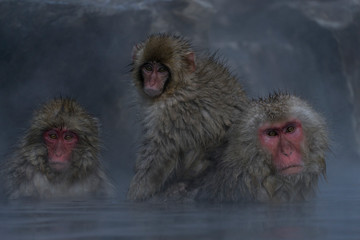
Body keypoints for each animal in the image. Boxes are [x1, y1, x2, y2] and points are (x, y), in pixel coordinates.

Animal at [127, 32, 248, 200]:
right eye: (148, 68)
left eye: (162, 70)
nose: (151, 83)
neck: (178, 87)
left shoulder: (172, 111)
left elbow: (159, 156)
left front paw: (136, 195)